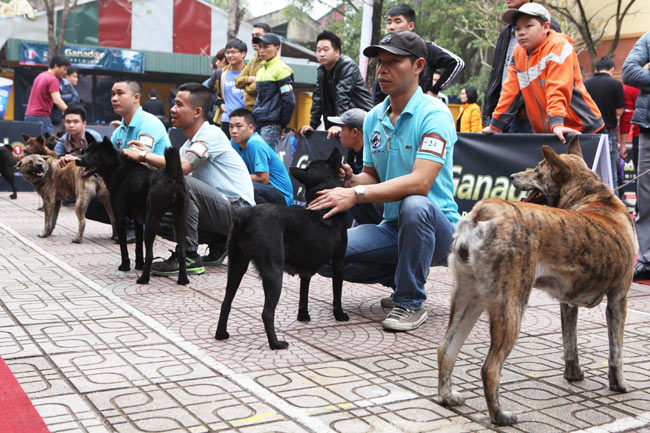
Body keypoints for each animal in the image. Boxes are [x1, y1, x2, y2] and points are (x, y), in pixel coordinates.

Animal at [75, 135, 189, 284]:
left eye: (95, 154)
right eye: (85, 151)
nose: (77, 160)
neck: (117, 168)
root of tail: (172, 175)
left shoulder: (119, 218)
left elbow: (123, 246)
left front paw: (125, 266)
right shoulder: (139, 221)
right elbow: (138, 247)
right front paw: (139, 265)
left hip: (152, 220)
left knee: (150, 254)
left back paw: (143, 279)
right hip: (180, 220)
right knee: (182, 251)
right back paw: (183, 279)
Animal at [215, 147, 350, 350]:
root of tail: (245, 215)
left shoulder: (306, 269)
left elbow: (303, 294)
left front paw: (303, 317)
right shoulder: (339, 262)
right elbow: (337, 293)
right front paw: (340, 316)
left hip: (237, 264)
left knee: (226, 302)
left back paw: (221, 334)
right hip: (274, 271)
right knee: (267, 313)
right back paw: (276, 343)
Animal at [436, 138, 632, 426]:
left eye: (538, 171)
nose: (512, 176)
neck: (594, 197)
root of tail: (483, 212)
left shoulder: (567, 303)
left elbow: (570, 344)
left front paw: (574, 374)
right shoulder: (618, 299)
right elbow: (616, 351)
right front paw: (619, 385)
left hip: (469, 298)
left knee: (446, 349)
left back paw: (448, 397)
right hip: (511, 306)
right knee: (490, 368)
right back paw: (500, 416)